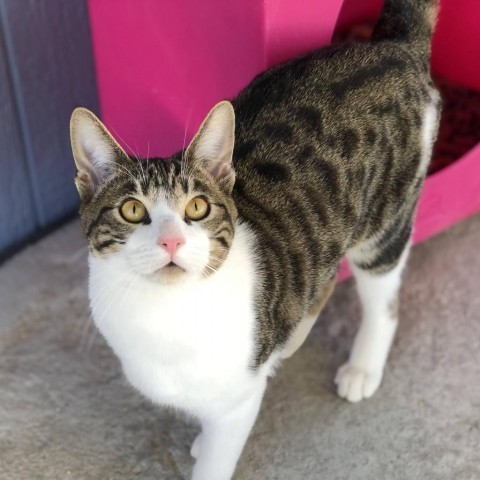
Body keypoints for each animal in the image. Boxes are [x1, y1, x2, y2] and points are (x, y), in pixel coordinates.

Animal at [69, 0, 440, 480]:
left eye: (197, 208)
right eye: (132, 210)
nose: (170, 242)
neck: (164, 315)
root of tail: (392, 45)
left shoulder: (237, 401)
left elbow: (219, 451)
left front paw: (210, 451)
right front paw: (202, 440)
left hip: (385, 221)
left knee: (383, 294)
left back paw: (362, 366)